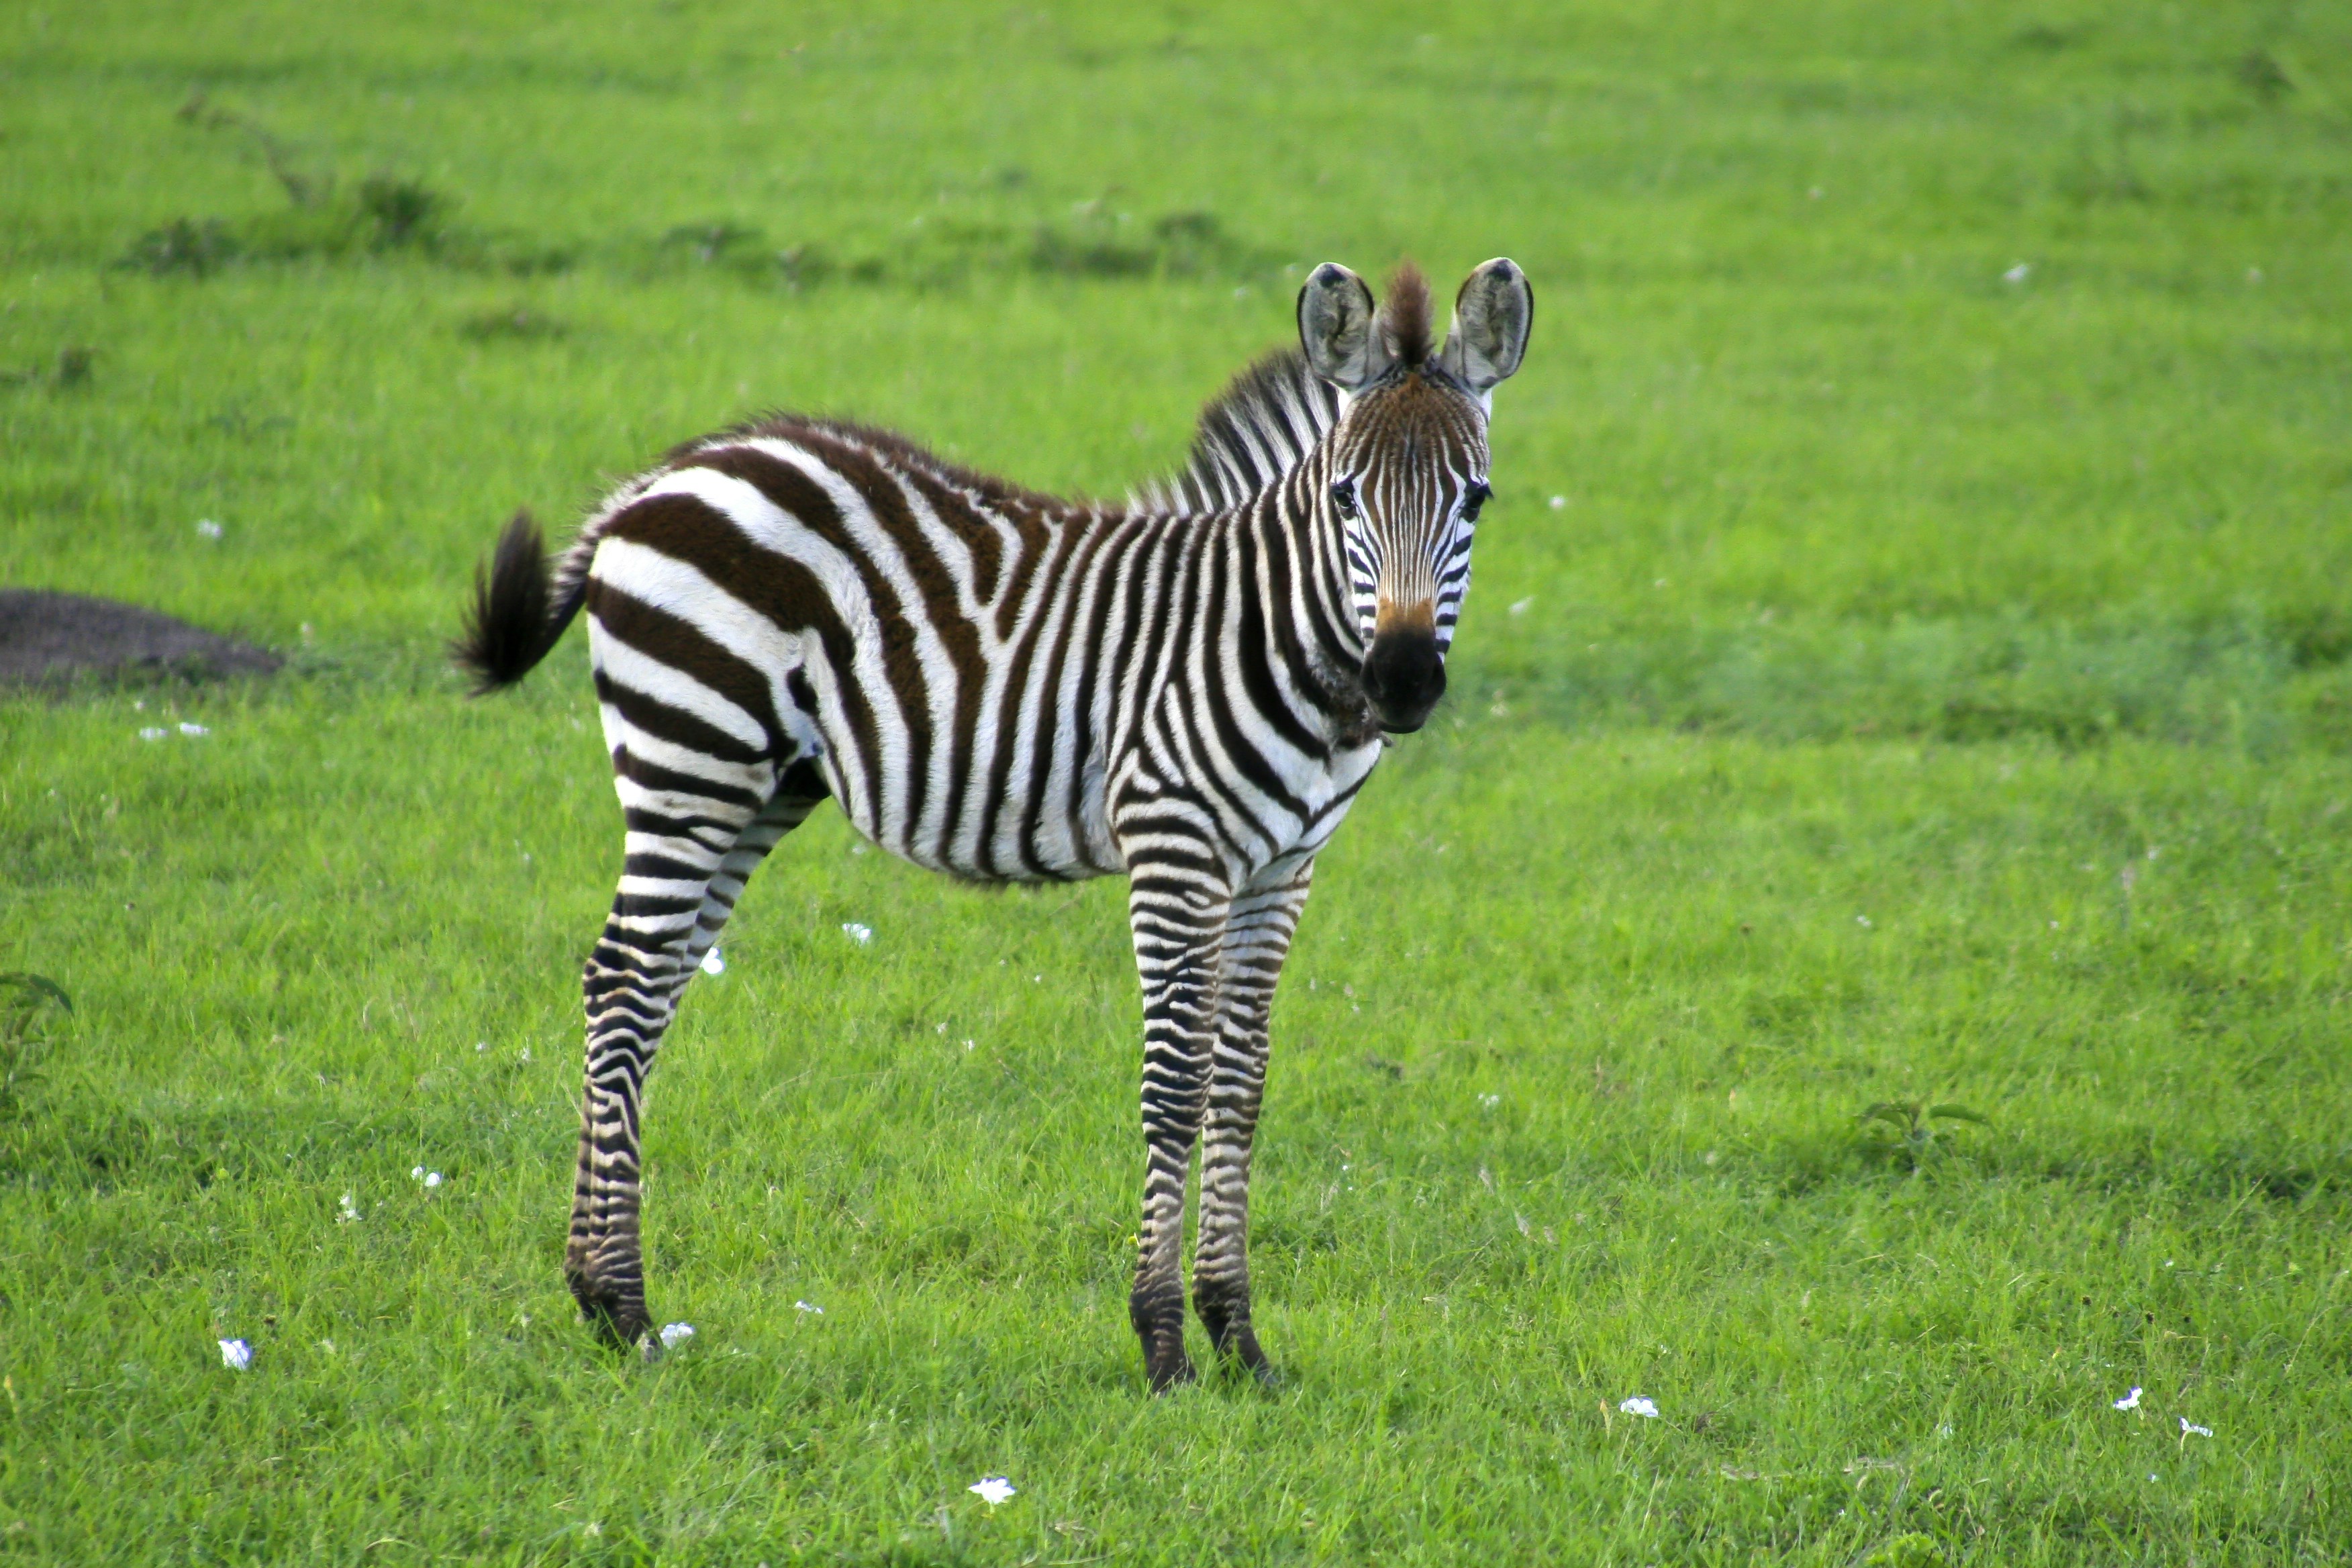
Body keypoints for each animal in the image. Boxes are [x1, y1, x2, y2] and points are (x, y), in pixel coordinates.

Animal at [453, 258, 1532, 1389]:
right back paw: (621, 1305)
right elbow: (1175, 1083)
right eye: (1344, 497)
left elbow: (1240, 1083)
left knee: (650, 986)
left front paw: (1240, 1339)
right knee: (621, 980)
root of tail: (668, 473)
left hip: (756, 788)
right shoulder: (1175, 846)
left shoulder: (1284, 869)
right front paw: (1163, 1344)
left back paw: (597, 1292)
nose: (1402, 683)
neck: (1275, 636)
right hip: (690, 762)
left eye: (1476, 498)